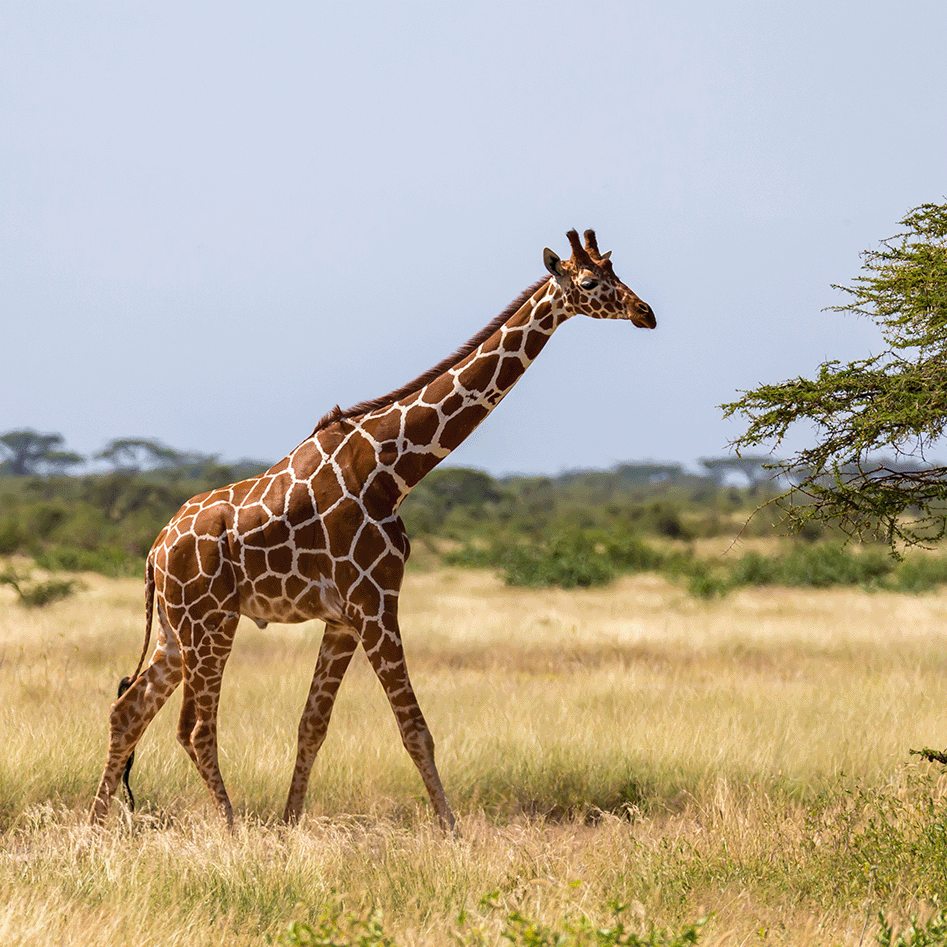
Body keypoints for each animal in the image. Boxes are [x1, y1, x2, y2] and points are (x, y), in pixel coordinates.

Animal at [89, 229, 656, 832]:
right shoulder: (376, 601)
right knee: (193, 729)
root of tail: (154, 550)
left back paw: (94, 826)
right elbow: (415, 730)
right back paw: (232, 828)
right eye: (591, 282)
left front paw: (290, 826)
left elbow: (312, 726)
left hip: (177, 630)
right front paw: (451, 831)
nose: (645, 313)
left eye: (617, 271)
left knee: (128, 709)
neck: (393, 469)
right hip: (210, 622)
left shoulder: (343, 618)